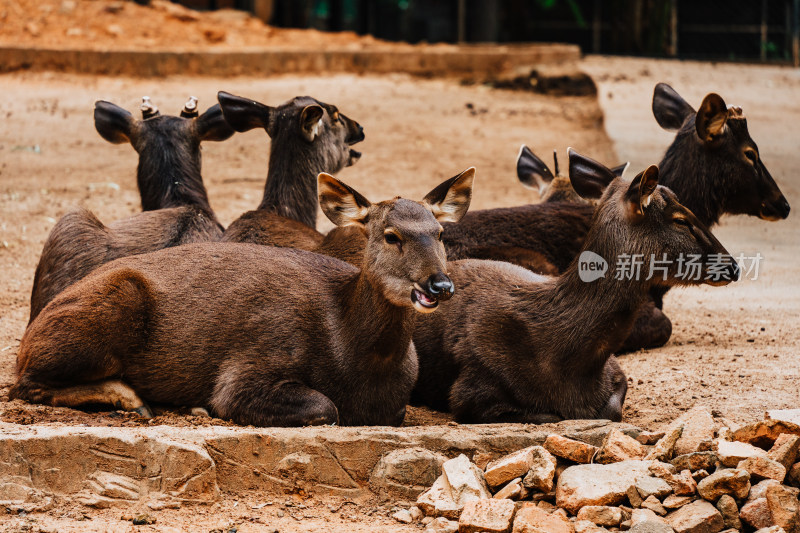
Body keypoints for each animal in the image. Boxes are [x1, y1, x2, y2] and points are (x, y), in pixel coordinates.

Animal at [10, 168, 476, 426]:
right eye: (390, 235)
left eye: (439, 233)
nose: (439, 285)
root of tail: (30, 335)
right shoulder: (248, 368)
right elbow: (324, 407)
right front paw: (203, 408)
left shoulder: (395, 409)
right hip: (111, 303)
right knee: (24, 385)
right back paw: (132, 399)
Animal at [410, 152, 740, 422]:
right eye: (681, 220)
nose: (733, 266)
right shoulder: (471, 392)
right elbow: (551, 416)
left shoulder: (616, 370)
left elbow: (611, 410)